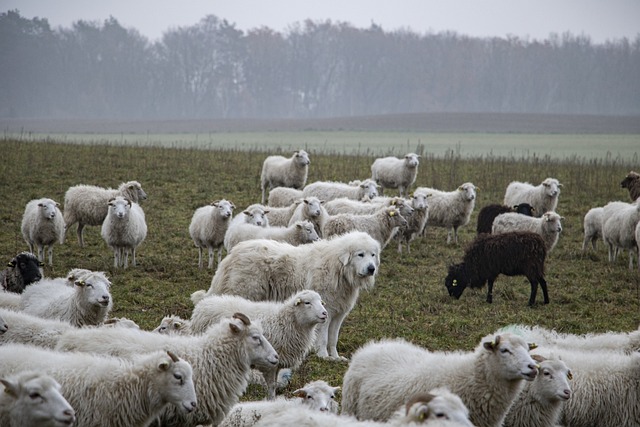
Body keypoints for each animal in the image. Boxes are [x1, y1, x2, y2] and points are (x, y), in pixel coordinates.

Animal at [190, 231, 380, 362]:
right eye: (360, 254)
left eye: (372, 255)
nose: (372, 268)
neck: (338, 268)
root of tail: (234, 253)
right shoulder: (325, 312)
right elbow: (324, 337)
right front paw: (324, 356)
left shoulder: (338, 314)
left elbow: (333, 338)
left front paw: (335, 357)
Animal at [190, 290, 328, 402]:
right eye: (307, 302)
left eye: (321, 302)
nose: (325, 313)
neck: (286, 321)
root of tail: (204, 303)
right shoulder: (270, 364)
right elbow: (271, 386)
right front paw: (271, 400)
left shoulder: (277, 363)